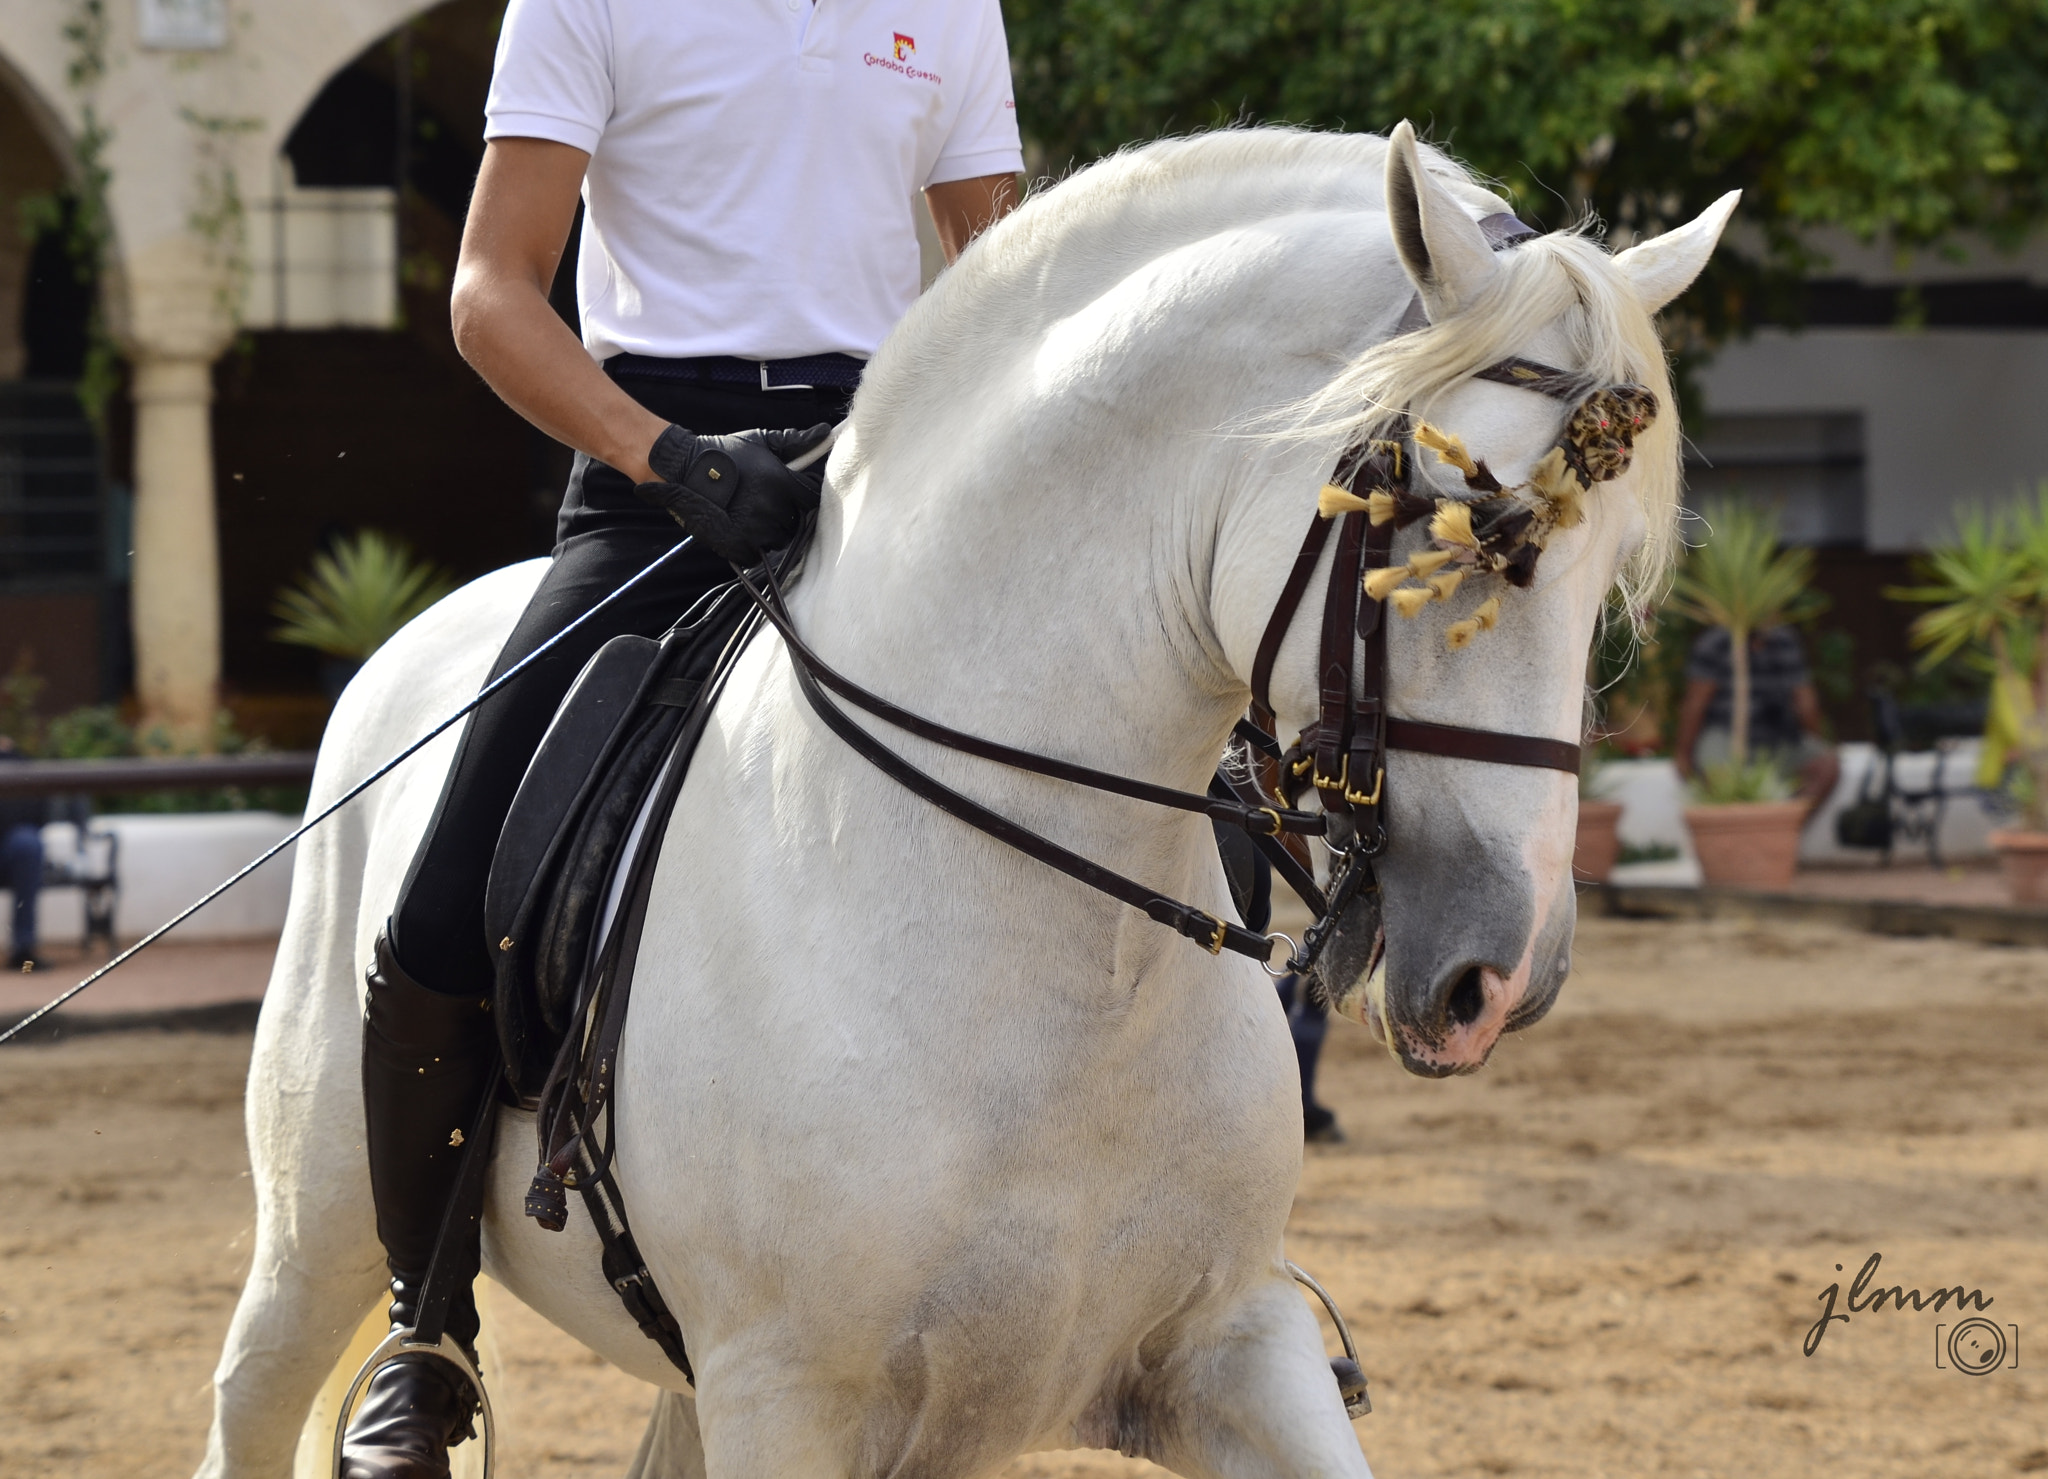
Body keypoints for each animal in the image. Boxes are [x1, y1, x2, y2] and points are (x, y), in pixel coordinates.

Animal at [196, 122, 1731, 1479]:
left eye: (1613, 571)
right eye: (1461, 534)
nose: (1504, 975)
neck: (1056, 960)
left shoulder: (1229, 1348)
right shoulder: (789, 1397)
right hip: (317, 1240)